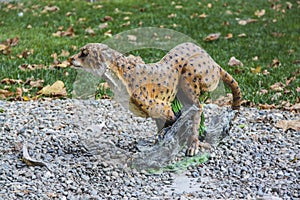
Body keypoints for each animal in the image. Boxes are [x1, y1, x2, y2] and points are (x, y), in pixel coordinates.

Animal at [70, 42, 241, 156]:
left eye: (84, 53)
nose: (71, 59)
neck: (117, 73)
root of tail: (212, 61)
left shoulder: (162, 105)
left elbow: (170, 119)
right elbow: (161, 124)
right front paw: (157, 142)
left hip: (190, 75)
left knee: (197, 107)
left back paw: (193, 143)